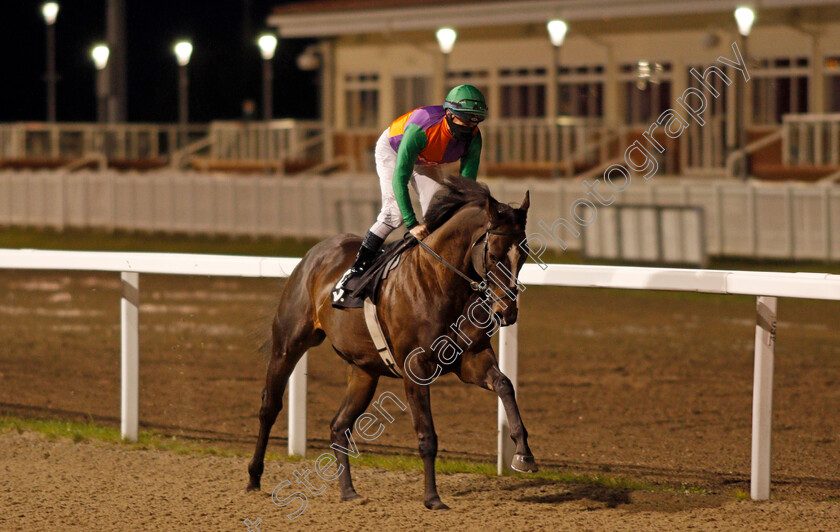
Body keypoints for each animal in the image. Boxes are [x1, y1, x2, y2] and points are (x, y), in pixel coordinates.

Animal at [248, 177, 540, 510]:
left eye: (524, 254)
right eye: (493, 255)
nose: (507, 312)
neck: (439, 280)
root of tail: (314, 254)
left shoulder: (471, 358)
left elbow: (505, 384)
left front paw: (523, 454)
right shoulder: (416, 366)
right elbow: (426, 434)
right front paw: (432, 497)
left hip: (364, 370)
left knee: (339, 425)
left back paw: (348, 491)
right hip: (288, 344)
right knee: (270, 407)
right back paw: (254, 477)